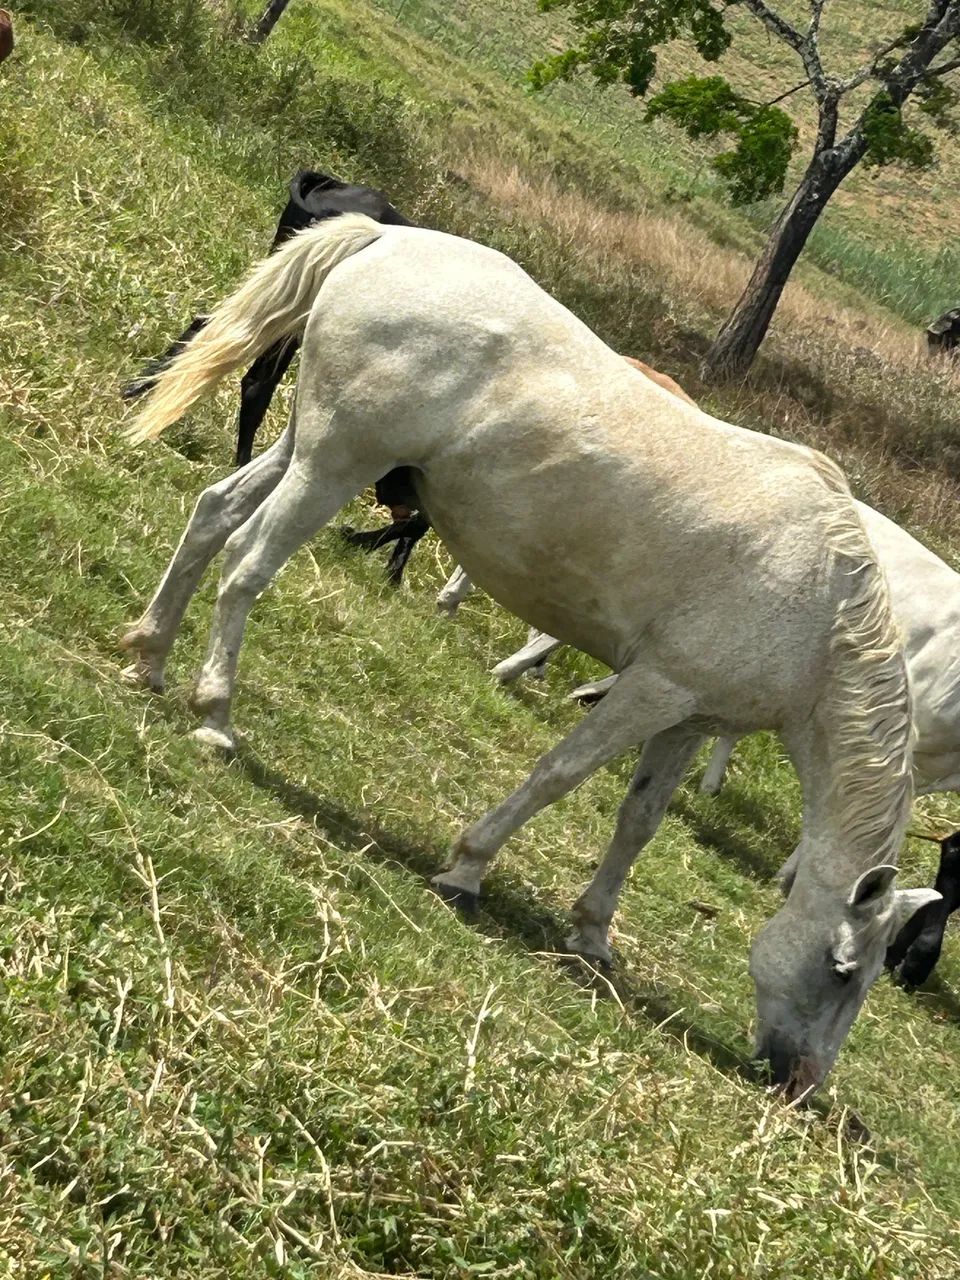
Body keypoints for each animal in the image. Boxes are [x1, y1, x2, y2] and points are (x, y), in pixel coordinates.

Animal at [121, 215, 936, 1099]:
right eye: (841, 966)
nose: (801, 1082)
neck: (822, 599)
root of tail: (384, 239)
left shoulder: (688, 716)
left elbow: (640, 821)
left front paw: (592, 935)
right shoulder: (652, 688)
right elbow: (559, 776)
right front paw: (466, 869)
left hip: (304, 450)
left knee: (212, 516)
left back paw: (150, 657)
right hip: (334, 464)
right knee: (245, 564)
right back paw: (214, 715)